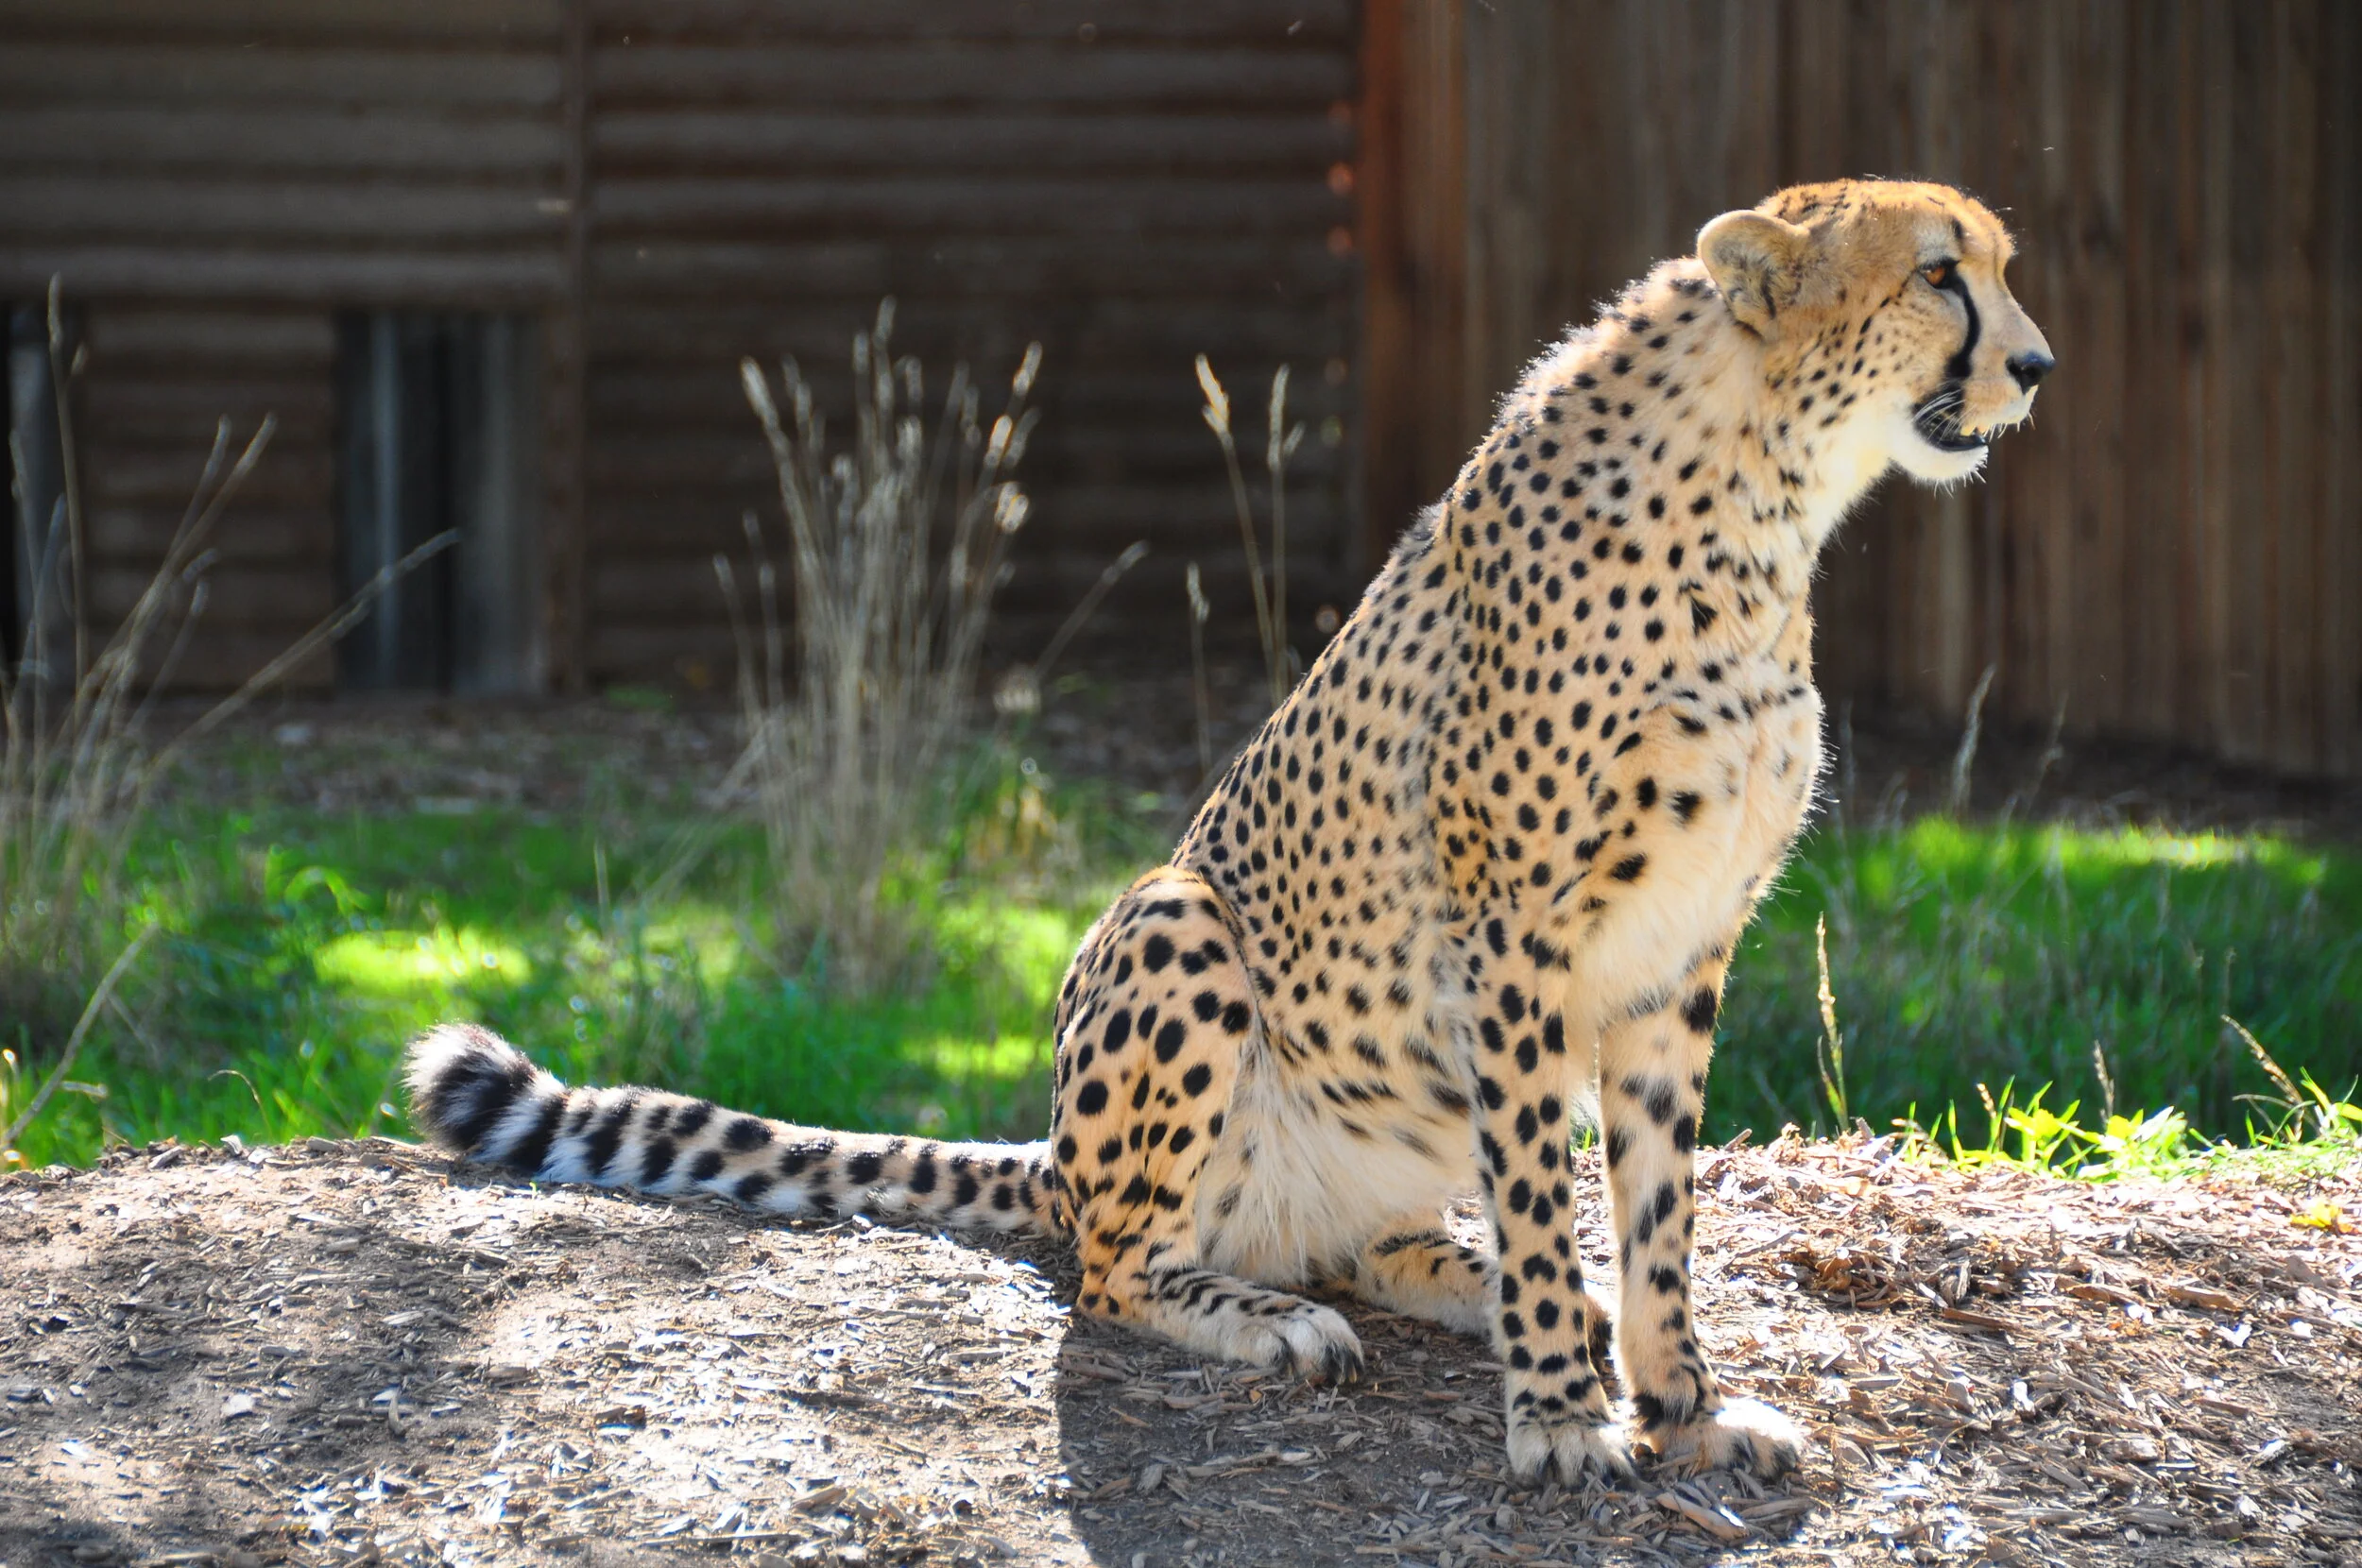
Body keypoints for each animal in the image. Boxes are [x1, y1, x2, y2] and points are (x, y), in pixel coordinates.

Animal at [407, 178, 2053, 1486]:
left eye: (1998, 263)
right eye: (1938, 273)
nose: (2036, 365)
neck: (1768, 502)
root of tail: (1055, 1162)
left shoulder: (1676, 952)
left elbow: (1656, 1216)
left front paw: (1683, 1408)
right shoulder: (1513, 934)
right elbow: (1543, 1181)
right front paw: (1561, 1420)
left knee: (1372, 1239)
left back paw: (1473, 1283)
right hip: (1172, 921)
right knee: (1114, 1269)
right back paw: (1278, 1322)